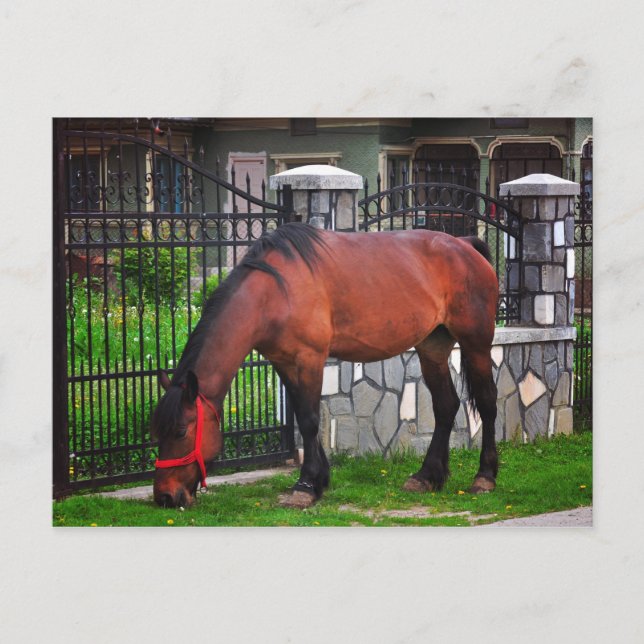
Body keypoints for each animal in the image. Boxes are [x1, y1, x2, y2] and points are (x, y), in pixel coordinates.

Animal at [151, 222, 499, 509]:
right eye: (157, 431)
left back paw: (485, 477)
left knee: (487, 402)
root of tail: (464, 245)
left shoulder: (309, 359)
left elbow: (308, 420)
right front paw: (320, 480)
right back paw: (427, 476)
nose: (165, 496)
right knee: (446, 405)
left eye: (181, 431)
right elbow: (303, 416)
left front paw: (305, 487)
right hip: (432, 347)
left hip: (476, 344)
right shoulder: (285, 362)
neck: (275, 289)